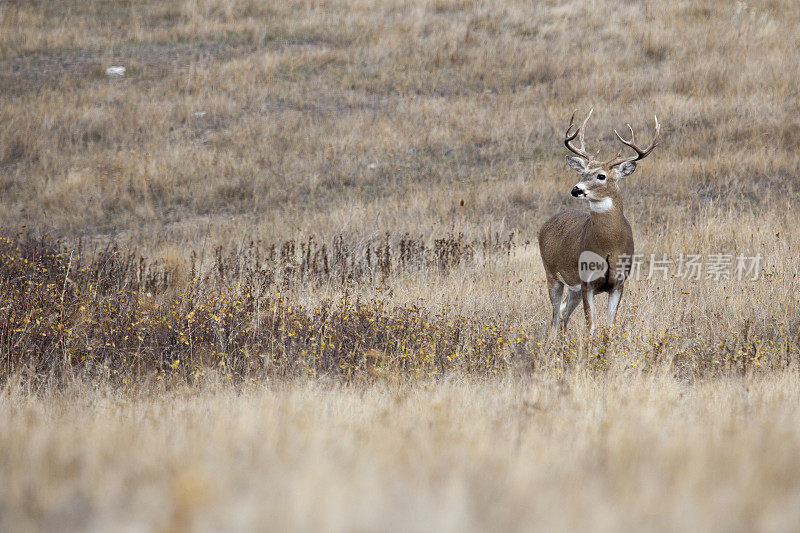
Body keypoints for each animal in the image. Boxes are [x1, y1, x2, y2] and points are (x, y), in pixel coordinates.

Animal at [536, 108, 664, 332]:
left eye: (601, 176)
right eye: (583, 173)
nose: (576, 189)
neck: (609, 246)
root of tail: (547, 223)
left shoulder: (619, 283)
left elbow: (610, 325)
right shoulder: (587, 282)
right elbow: (591, 326)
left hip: (573, 287)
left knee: (563, 313)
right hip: (551, 273)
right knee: (554, 317)